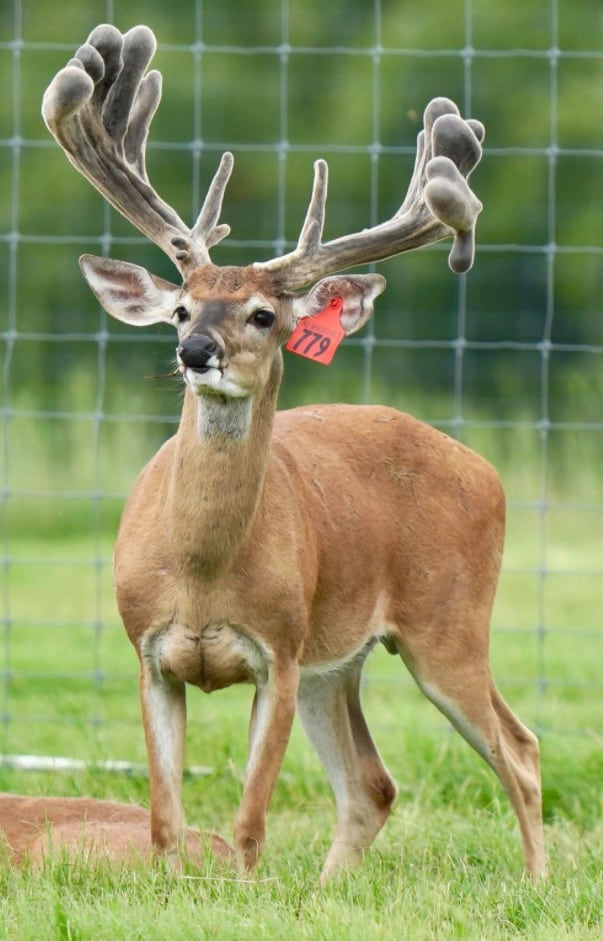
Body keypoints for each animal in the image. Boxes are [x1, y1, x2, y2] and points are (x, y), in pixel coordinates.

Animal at [42, 24, 545, 884]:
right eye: (181, 307)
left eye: (264, 314)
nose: (195, 351)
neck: (202, 574)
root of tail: (482, 468)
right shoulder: (149, 649)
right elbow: (165, 820)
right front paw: (174, 890)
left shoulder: (276, 649)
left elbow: (248, 817)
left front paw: (241, 892)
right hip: (337, 660)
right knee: (372, 782)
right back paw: (324, 891)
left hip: (447, 622)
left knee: (518, 747)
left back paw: (539, 881)